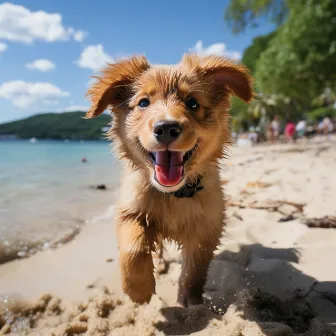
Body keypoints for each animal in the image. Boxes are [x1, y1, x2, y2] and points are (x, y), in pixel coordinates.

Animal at [85, 53, 253, 308]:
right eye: (143, 103)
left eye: (192, 103)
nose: (166, 128)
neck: (174, 193)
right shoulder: (130, 209)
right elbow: (134, 250)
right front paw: (139, 291)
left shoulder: (207, 226)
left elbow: (195, 269)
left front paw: (191, 301)